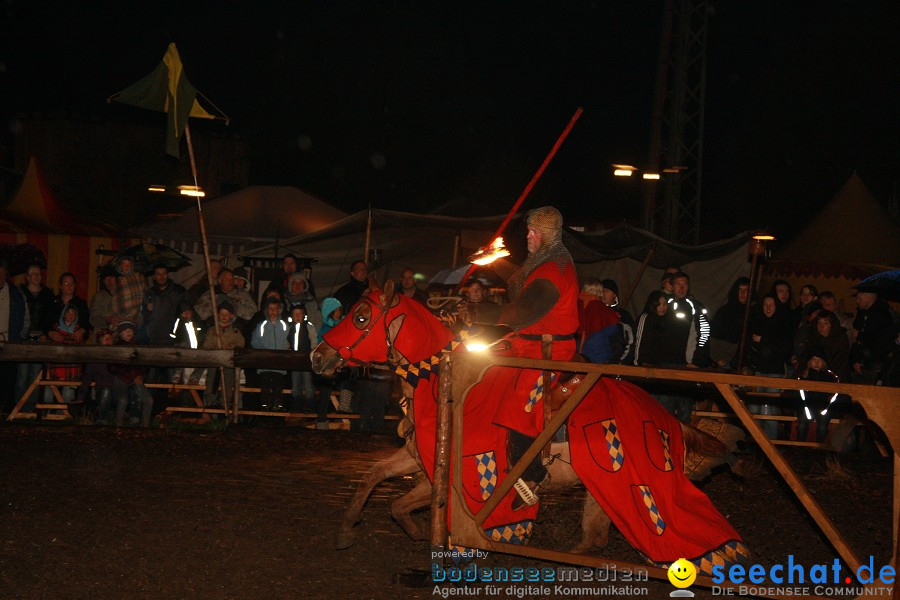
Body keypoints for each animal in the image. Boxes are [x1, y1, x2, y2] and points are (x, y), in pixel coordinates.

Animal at [312, 282, 748, 572]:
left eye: (362, 317)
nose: (318, 356)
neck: (437, 380)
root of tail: (665, 417)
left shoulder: (446, 477)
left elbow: (399, 503)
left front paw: (421, 532)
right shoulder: (413, 457)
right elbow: (373, 477)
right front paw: (348, 528)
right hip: (603, 483)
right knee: (595, 535)